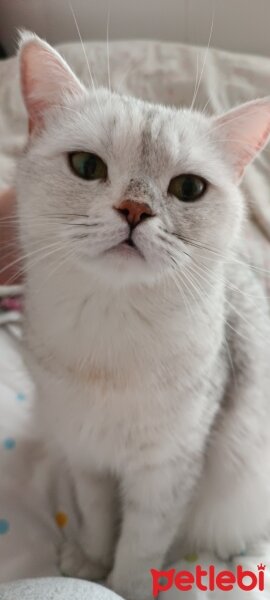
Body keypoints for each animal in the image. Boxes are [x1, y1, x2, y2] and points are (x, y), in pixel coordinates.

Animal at [15, 31, 270, 600]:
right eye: (87, 166)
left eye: (189, 189)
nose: (135, 210)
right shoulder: (87, 455)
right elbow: (96, 518)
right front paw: (89, 562)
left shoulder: (166, 470)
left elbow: (139, 546)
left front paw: (123, 588)